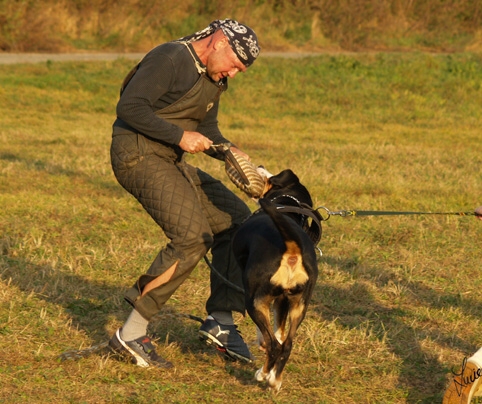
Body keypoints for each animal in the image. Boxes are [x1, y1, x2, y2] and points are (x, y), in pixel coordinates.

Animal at [233, 169, 322, 392]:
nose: (261, 166)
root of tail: (291, 248)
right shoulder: (282, 301)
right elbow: (279, 332)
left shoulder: (259, 297)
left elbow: (266, 336)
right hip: (299, 305)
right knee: (286, 345)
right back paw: (275, 380)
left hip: (254, 300)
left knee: (274, 346)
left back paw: (262, 375)